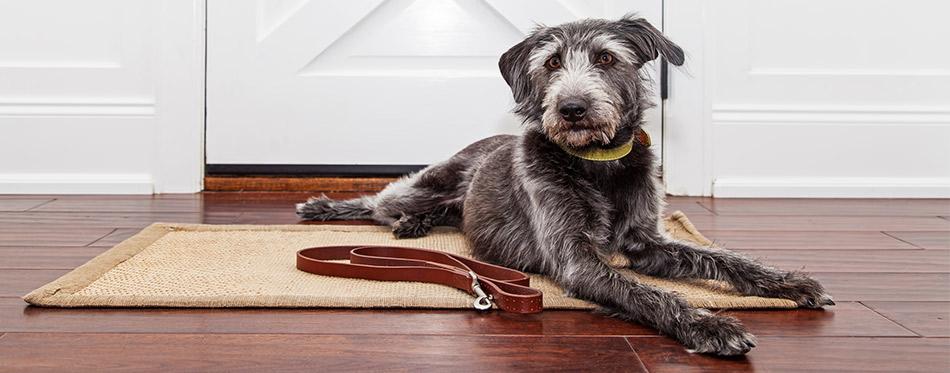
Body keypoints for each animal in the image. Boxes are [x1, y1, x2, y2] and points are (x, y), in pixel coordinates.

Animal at [296, 16, 832, 356]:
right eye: (552, 63)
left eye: (606, 58)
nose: (572, 108)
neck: (597, 163)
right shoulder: (577, 259)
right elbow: (652, 295)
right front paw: (711, 323)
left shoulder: (647, 242)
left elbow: (723, 258)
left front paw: (788, 282)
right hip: (426, 183)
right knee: (380, 200)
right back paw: (330, 208)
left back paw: (416, 225)